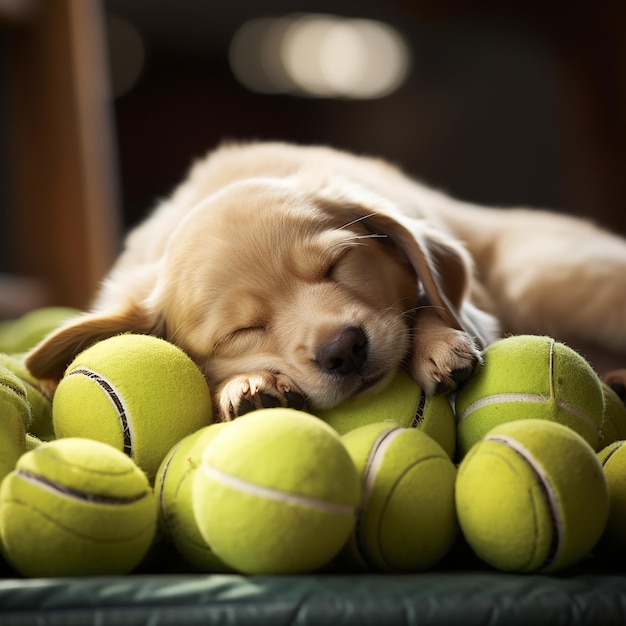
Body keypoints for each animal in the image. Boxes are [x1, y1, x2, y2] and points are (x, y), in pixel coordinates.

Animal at [25, 141, 626, 420]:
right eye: (240, 331)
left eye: (337, 266)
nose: (344, 349)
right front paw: (246, 386)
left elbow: (431, 299)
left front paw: (437, 344)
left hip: (544, 276)